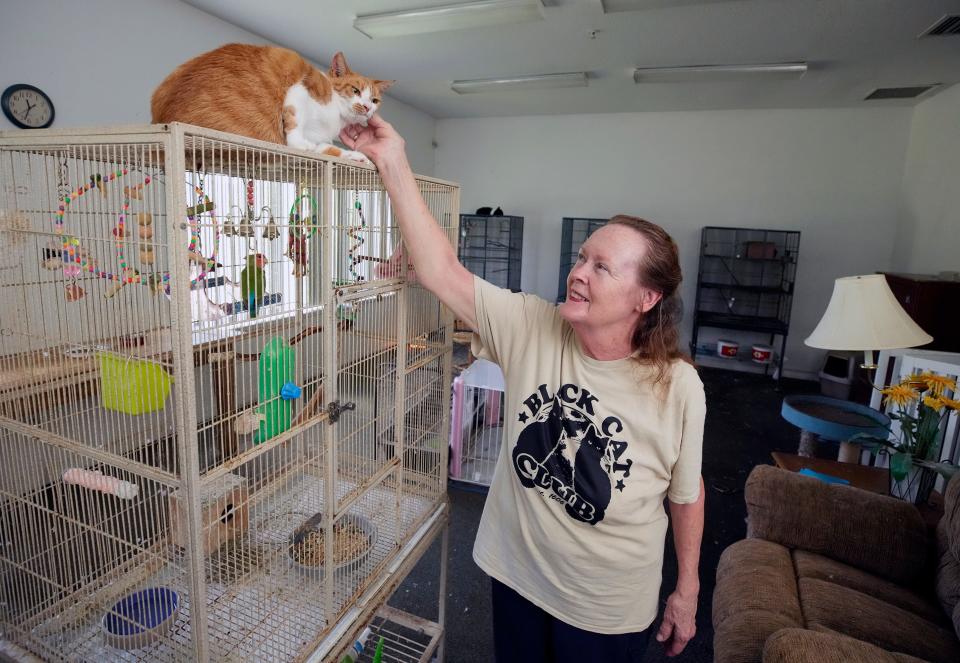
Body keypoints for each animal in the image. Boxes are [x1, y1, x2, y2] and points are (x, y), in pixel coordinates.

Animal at [150, 43, 390, 162]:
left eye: (375, 100)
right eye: (355, 90)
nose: (367, 107)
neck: (336, 117)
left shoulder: (320, 141)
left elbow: (329, 149)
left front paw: (357, 156)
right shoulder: (300, 91)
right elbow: (295, 126)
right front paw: (299, 144)